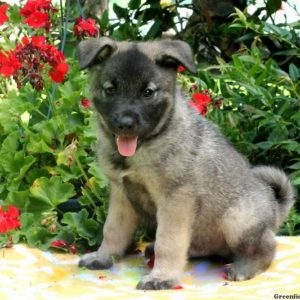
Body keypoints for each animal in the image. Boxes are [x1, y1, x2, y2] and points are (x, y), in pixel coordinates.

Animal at [76, 36, 294, 290]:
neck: (146, 147)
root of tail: (275, 210)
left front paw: (161, 277)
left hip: (237, 218)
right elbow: (112, 230)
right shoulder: (121, 194)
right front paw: (102, 257)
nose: (125, 124)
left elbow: (168, 242)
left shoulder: (175, 201)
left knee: (267, 246)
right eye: (110, 90)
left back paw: (244, 268)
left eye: (148, 92)